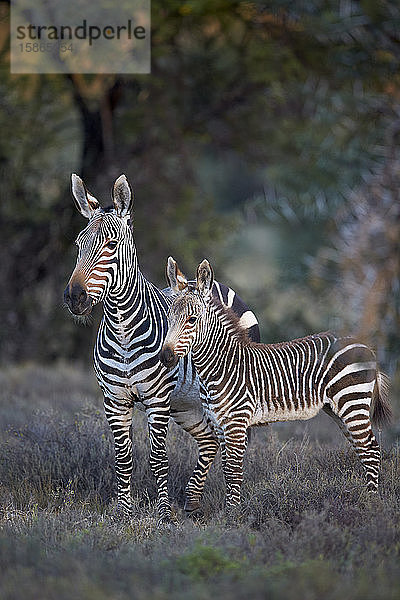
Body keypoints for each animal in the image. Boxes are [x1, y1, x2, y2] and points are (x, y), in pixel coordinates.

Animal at [63, 172, 260, 520]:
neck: (123, 331)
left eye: (111, 245)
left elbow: (158, 458)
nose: (75, 297)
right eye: (78, 245)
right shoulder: (114, 400)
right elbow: (123, 457)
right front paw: (123, 511)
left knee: (234, 446)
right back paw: (192, 502)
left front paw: (164, 513)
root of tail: (204, 282)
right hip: (187, 404)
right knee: (210, 441)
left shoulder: (157, 401)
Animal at [161, 255, 392, 508]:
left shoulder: (236, 422)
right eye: (169, 318)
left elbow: (233, 471)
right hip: (338, 409)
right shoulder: (219, 423)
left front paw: (233, 513)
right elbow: (225, 469)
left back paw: (370, 502)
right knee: (363, 449)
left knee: (371, 450)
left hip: (352, 402)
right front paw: (229, 510)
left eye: (192, 320)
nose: (165, 357)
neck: (222, 365)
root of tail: (365, 346)